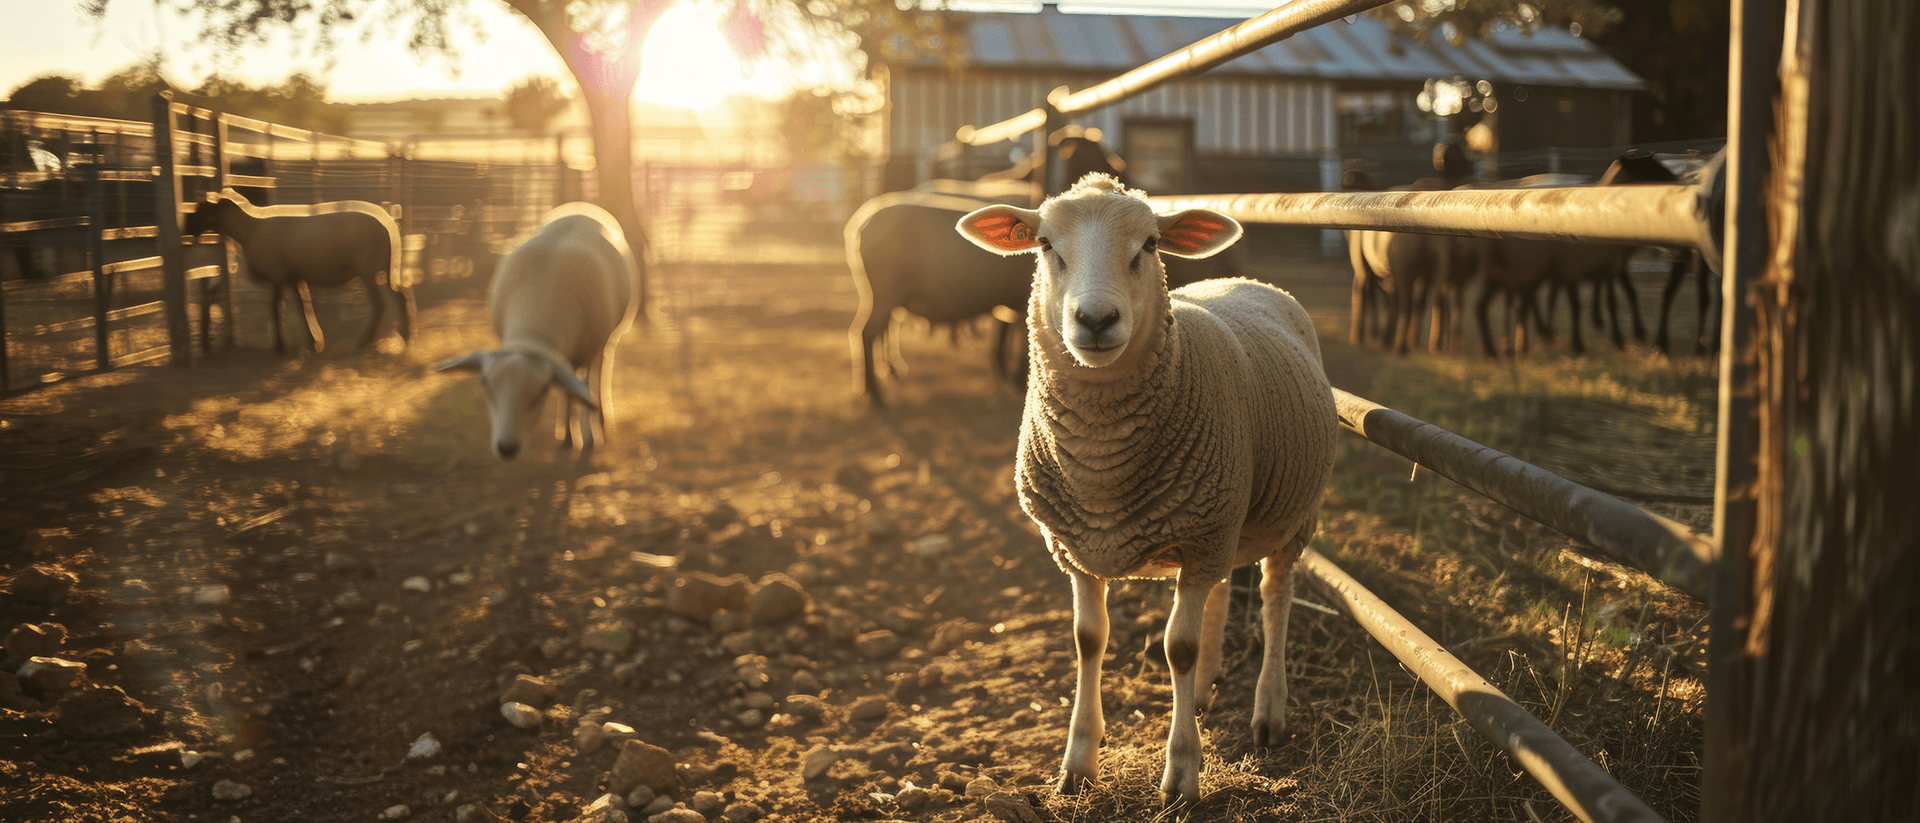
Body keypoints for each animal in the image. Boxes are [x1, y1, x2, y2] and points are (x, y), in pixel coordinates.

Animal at [185, 190, 410, 354]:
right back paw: (408, 337)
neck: (249, 231)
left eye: (202, 210)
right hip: (380, 268)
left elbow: (275, 309)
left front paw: (280, 347)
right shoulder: (293, 277)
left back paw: (365, 341)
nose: (186, 231)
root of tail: (388, 226)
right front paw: (315, 343)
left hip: (368, 268)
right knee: (401, 295)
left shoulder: (277, 275)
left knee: (381, 304)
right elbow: (304, 307)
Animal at [437, 202, 641, 458]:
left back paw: (601, 421)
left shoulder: (589, 349)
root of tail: (582, 205)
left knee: (598, 373)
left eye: (542, 391)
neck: (533, 330)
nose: (506, 448)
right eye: (485, 384)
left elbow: (581, 388)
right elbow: (567, 389)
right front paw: (567, 437)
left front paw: (587, 437)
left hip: (604, 342)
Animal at [956, 169, 1336, 805]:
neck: (1102, 467)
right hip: (1224, 522)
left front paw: (1181, 776)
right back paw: (1203, 691)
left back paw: (1269, 712)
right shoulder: (1078, 547)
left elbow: (1176, 648)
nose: (1096, 320)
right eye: (1044, 245)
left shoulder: (1202, 532)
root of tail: (1243, 278)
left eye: (1151, 245)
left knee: (1274, 596)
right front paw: (1077, 765)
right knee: (1220, 594)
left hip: (1289, 517)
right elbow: (1088, 639)